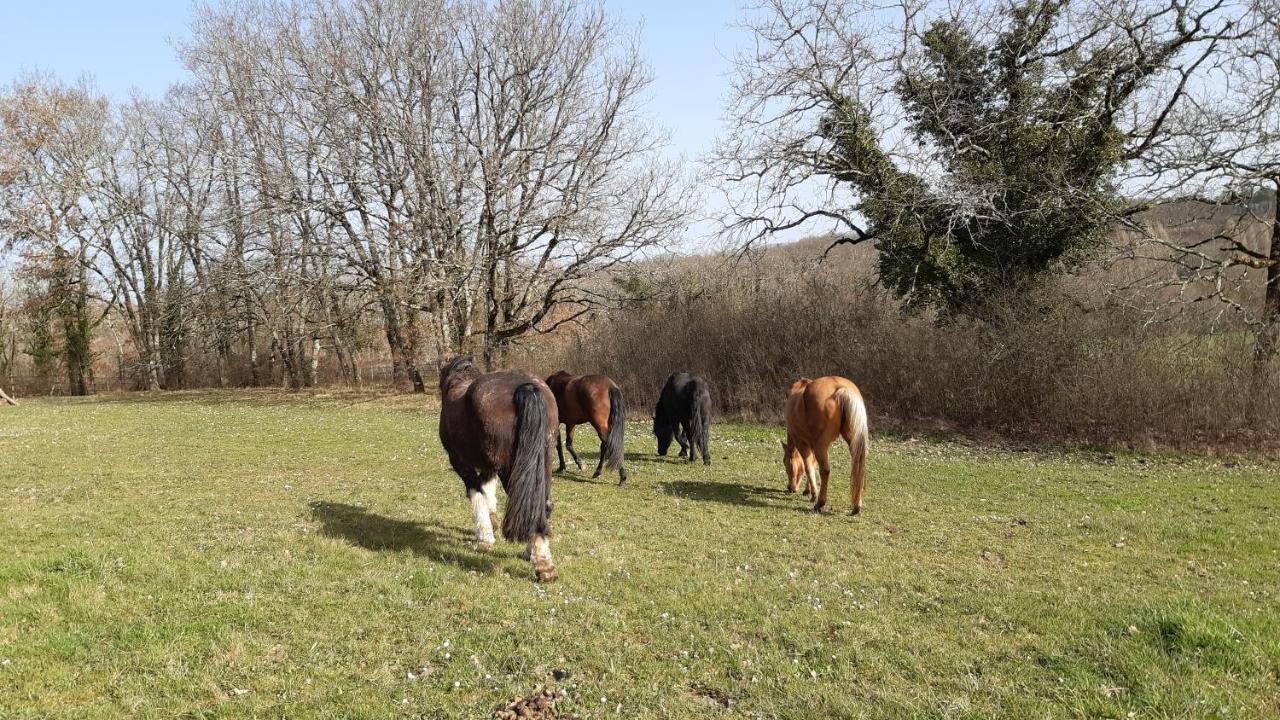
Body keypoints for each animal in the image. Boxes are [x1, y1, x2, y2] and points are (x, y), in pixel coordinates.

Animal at [437, 356, 558, 579]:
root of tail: (526, 387)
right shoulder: (489, 466)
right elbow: (488, 491)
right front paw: (492, 522)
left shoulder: (460, 464)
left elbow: (476, 493)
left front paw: (485, 536)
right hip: (542, 463)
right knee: (540, 505)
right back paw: (532, 553)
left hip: (511, 471)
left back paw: (543, 565)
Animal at [778, 371, 870, 512]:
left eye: (786, 462)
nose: (790, 488)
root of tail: (840, 388)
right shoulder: (815, 445)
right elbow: (812, 465)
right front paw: (809, 491)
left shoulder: (802, 443)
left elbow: (808, 467)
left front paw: (813, 494)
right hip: (850, 441)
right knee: (858, 465)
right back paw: (856, 506)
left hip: (820, 446)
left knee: (825, 470)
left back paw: (820, 503)